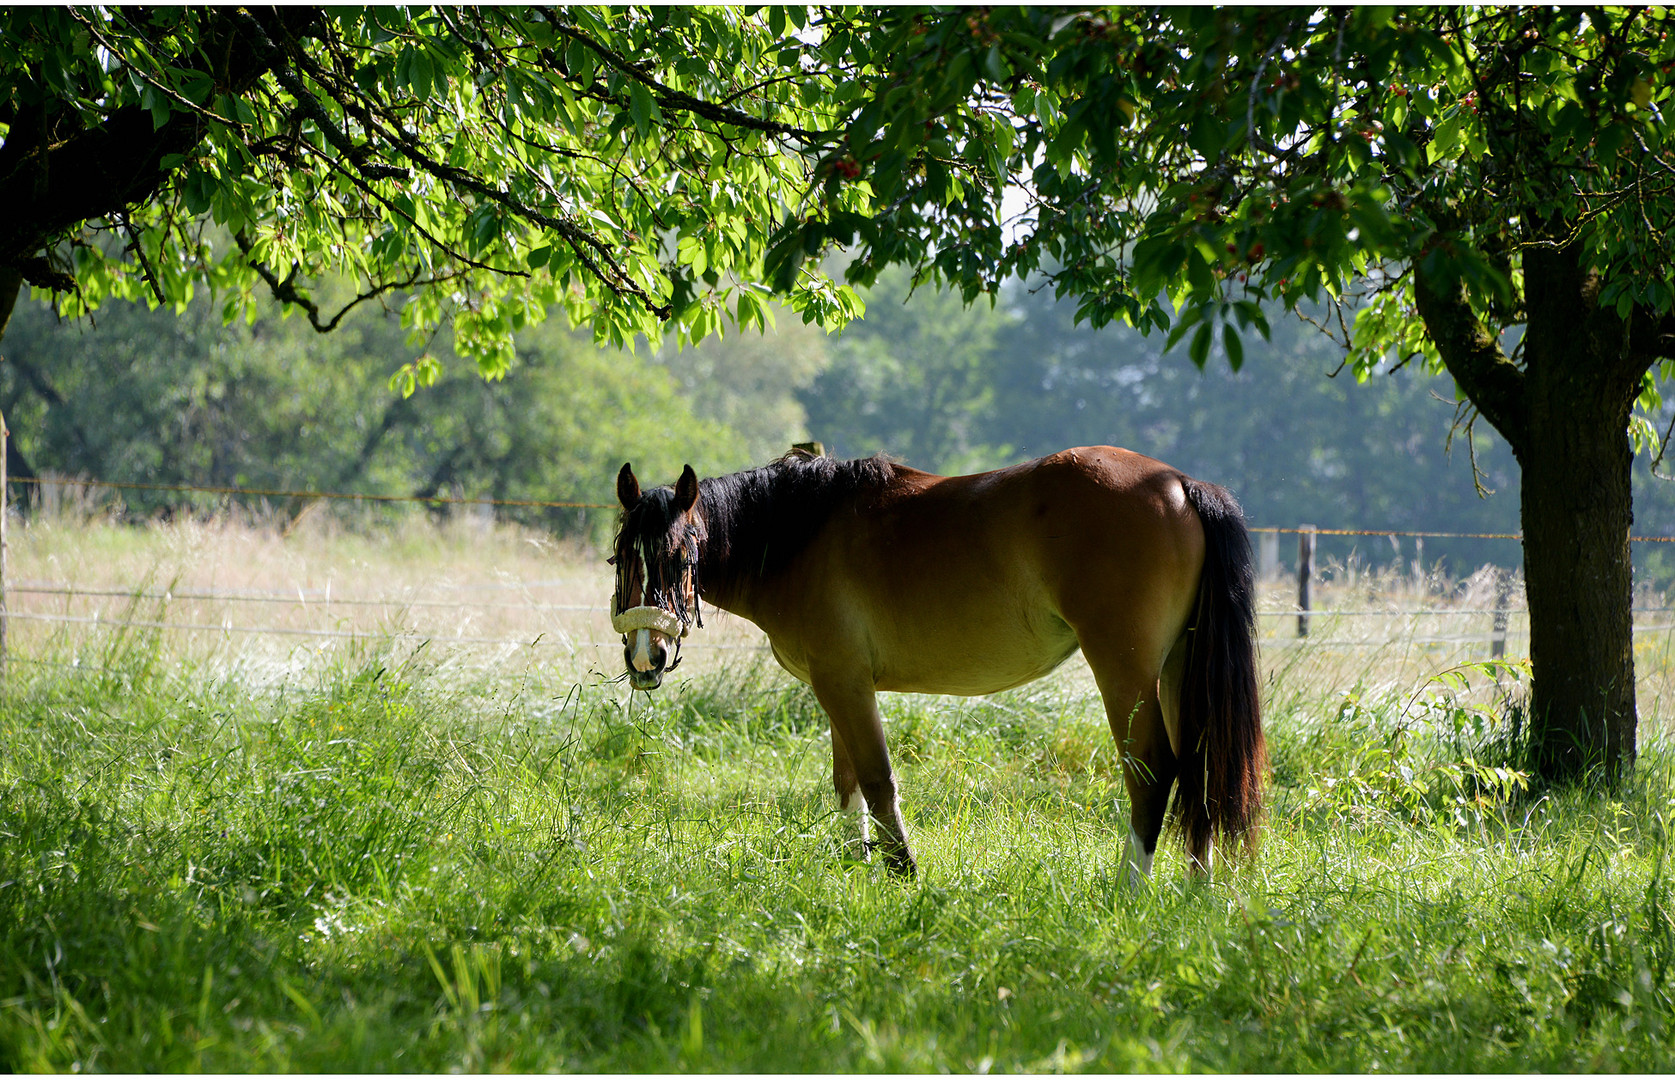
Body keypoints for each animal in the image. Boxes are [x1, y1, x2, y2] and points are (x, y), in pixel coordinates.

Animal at [609, 445, 1259, 877]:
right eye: (620, 557)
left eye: (684, 555)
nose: (646, 656)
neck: (801, 531)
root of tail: (1179, 482)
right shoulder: (835, 685)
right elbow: (849, 784)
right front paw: (859, 874)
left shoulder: (844, 683)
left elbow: (876, 780)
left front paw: (904, 873)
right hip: (1178, 669)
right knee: (1202, 767)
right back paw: (1197, 894)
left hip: (1124, 671)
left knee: (1153, 769)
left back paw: (1128, 893)